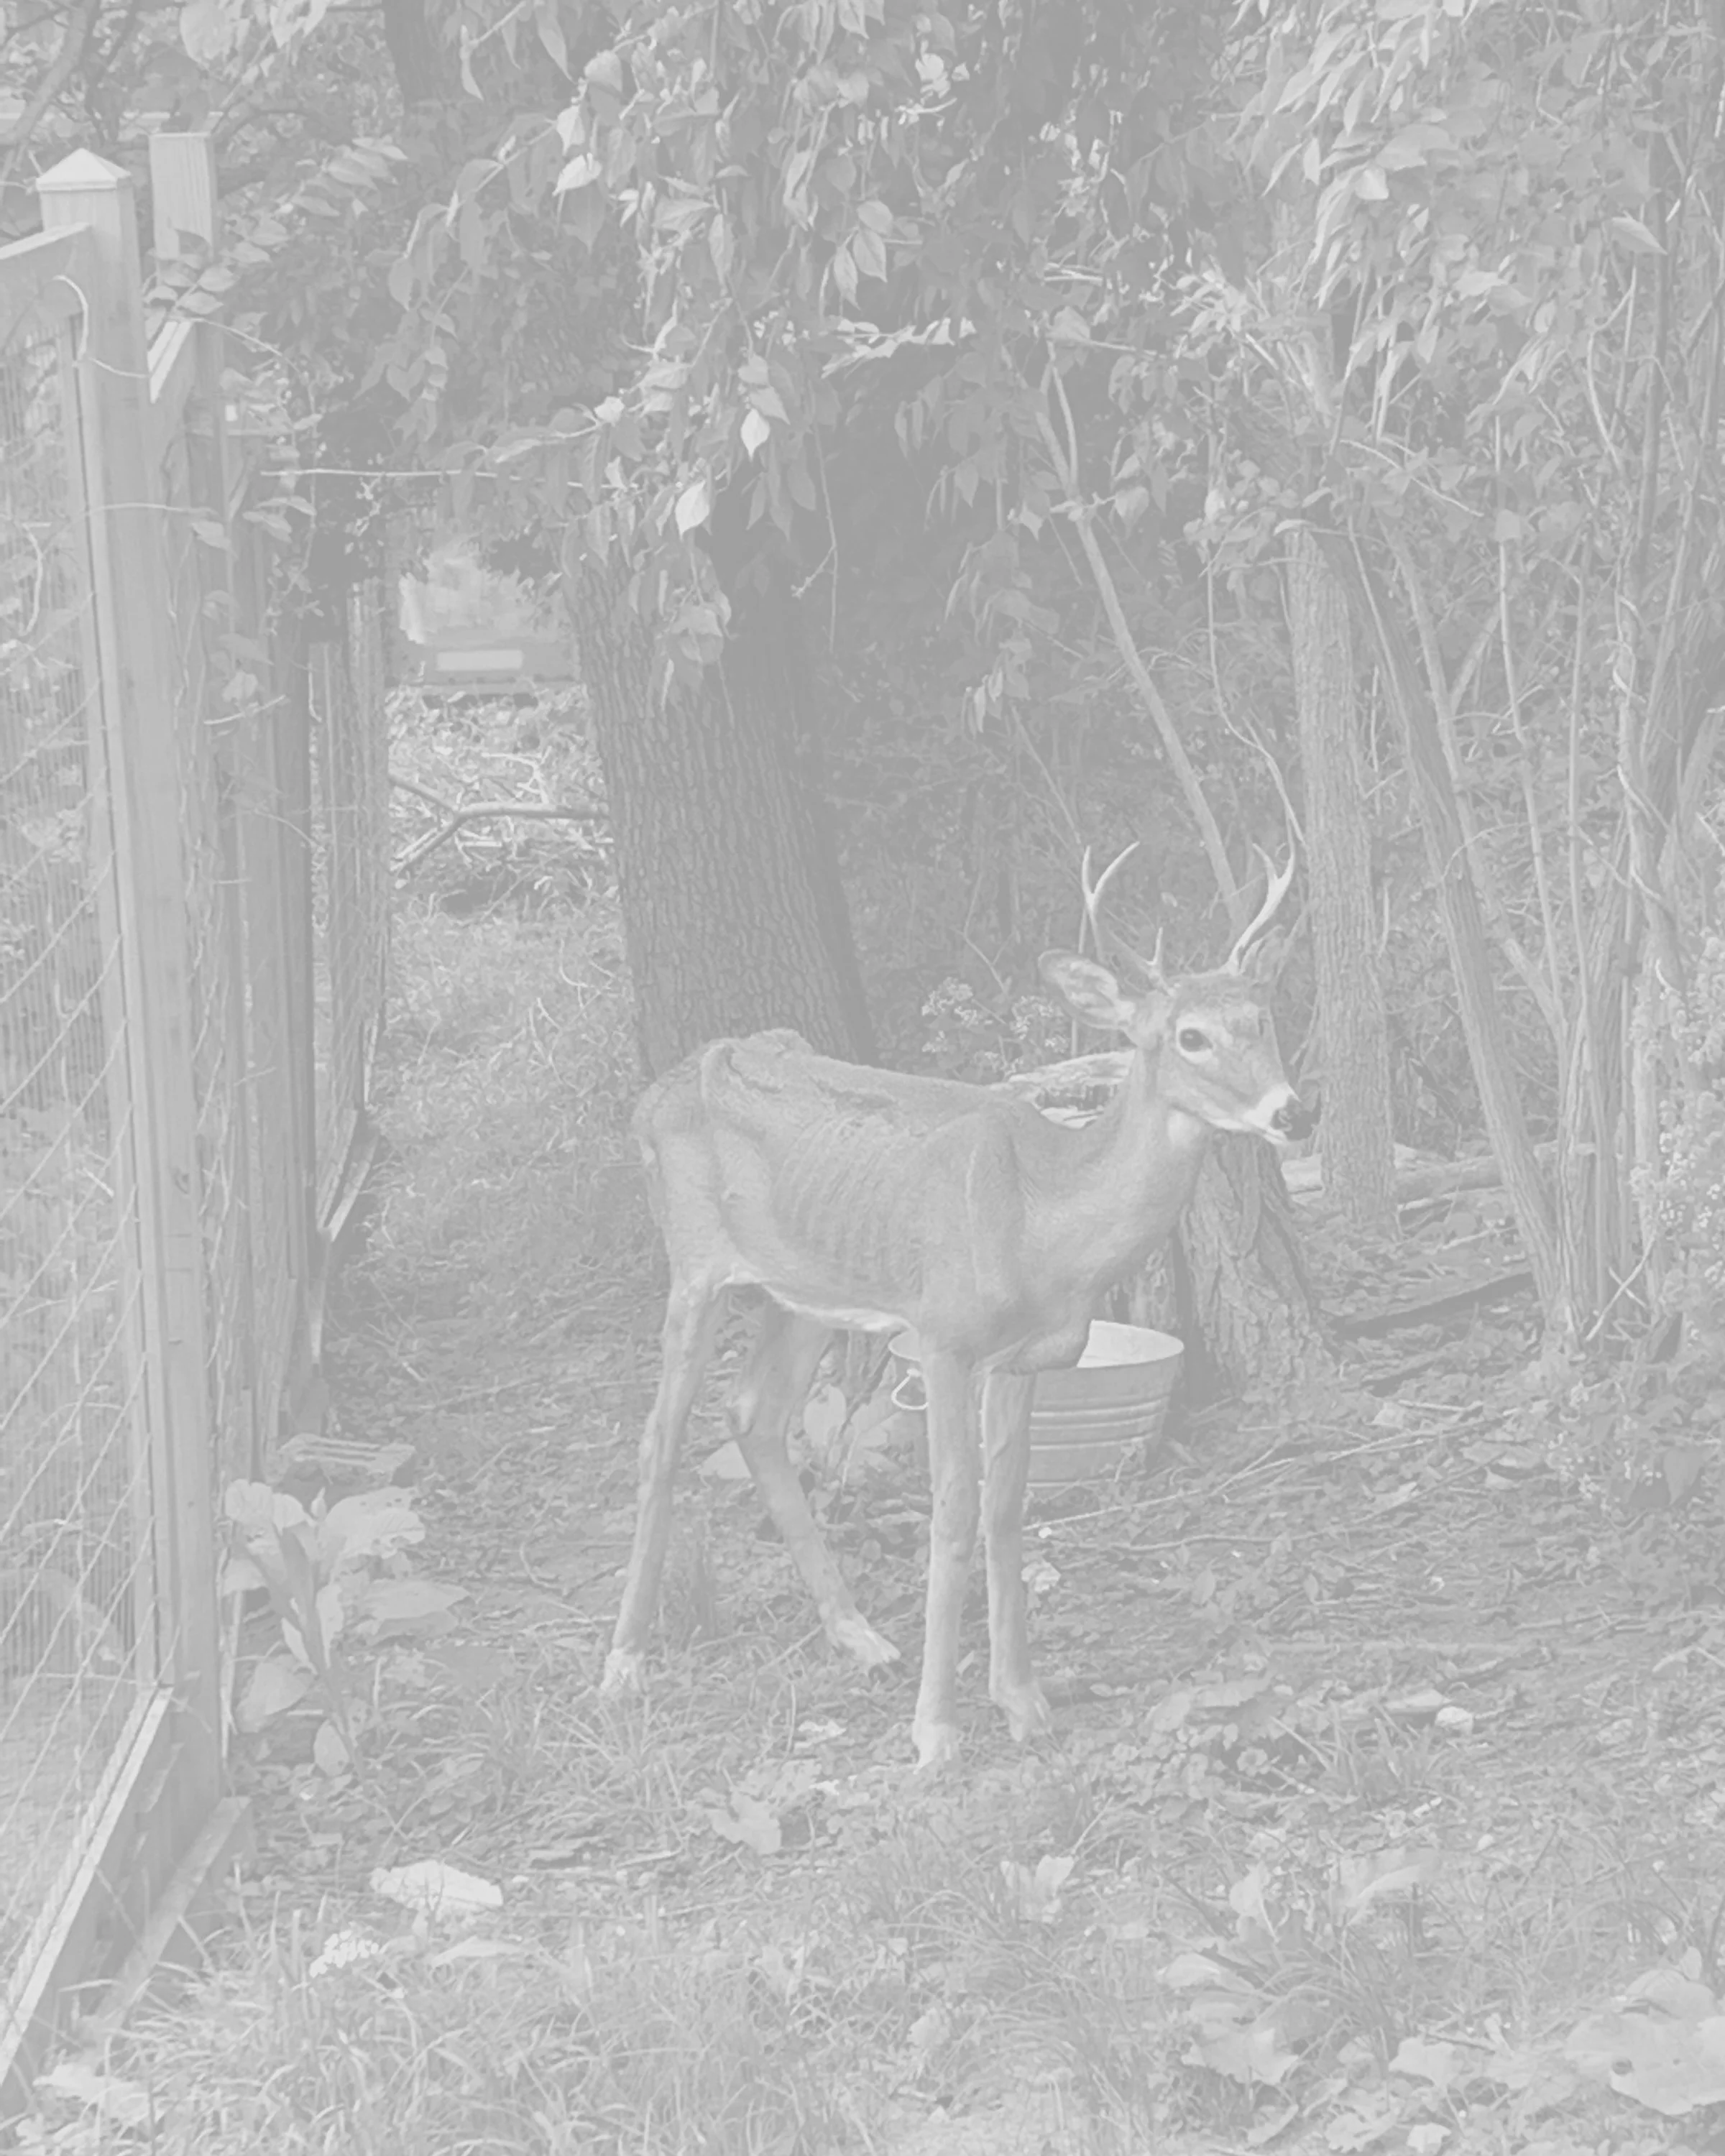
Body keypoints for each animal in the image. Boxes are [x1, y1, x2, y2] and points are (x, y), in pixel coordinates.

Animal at [601, 847, 1311, 1770]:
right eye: (1190, 1035)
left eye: (1262, 1017)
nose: (1292, 1110)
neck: (1044, 1219)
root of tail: (656, 1093)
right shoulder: (942, 1337)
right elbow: (951, 1510)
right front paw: (936, 1732)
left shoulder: (1027, 1358)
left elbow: (1006, 1510)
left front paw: (1025, 1703)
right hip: (692, 1263)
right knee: (659, 1438)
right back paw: (623, 1665)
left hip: (808, 1294)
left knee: (755, 1415)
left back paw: (862, 1637)